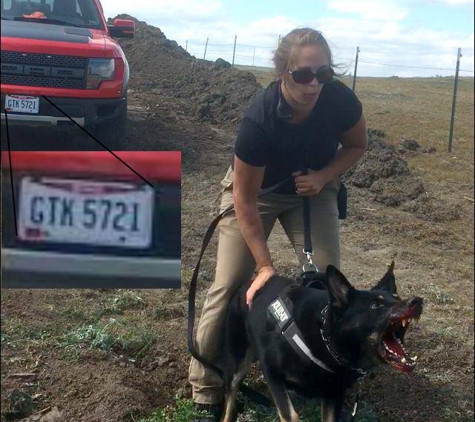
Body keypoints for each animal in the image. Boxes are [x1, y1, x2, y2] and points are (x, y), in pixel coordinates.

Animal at [222, 262, 424, 420]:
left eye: (397, 297)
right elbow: (290, 414)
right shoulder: (271, 372)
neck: (326, 340)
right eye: (375, 305)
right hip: (237, 362)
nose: (417, 301)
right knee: (230, 396)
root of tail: (248, 284)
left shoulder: (333, 395)